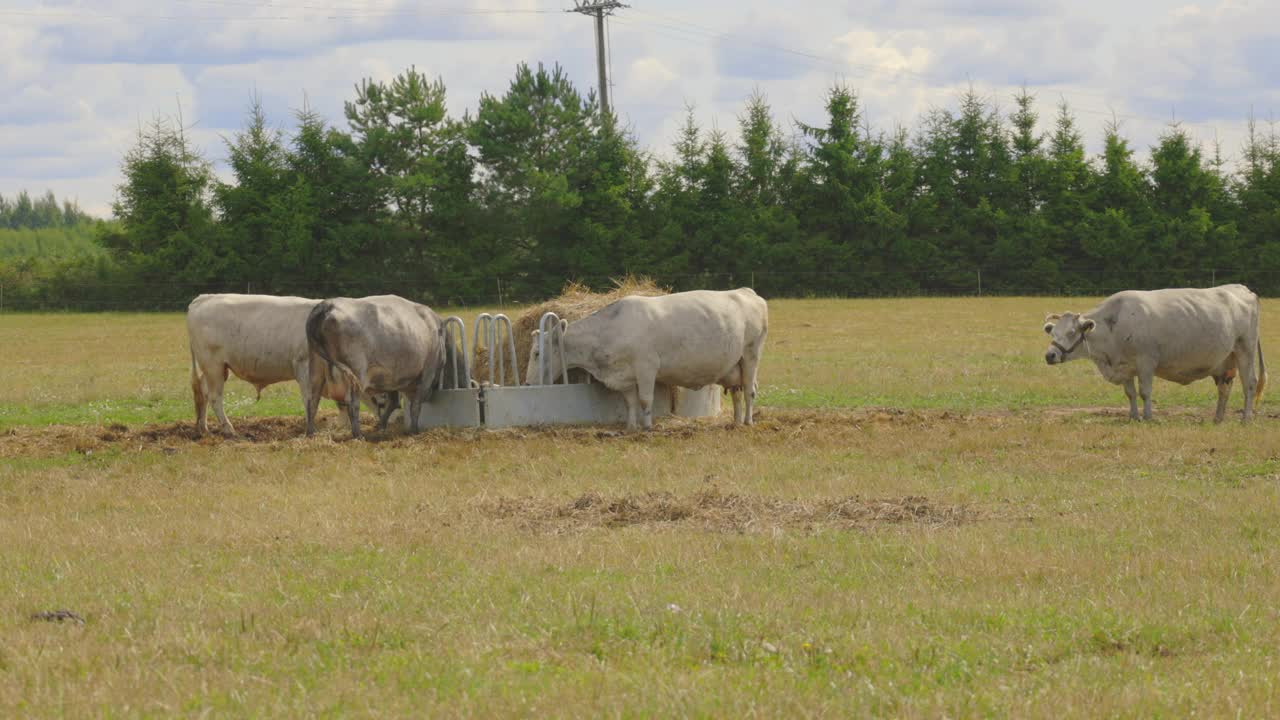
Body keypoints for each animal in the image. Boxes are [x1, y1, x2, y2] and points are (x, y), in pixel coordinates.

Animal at [186, 293, 396, 438]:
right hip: (213, 366)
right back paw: (229, 430)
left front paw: (340, 426)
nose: (392, 424)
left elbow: (341, 402)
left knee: (203, 394)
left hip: (213, 368)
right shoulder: (304, 368)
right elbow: (311, 400)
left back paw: (203, 428)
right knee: (215, 397)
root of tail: (204, 298)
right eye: (383, 400)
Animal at [304, 293, 455, 438]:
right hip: (357, 373)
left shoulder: (392, 379)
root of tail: (327, 304)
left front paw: (380, 426)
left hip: (316, 369)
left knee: (312, 400)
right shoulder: (428, 374)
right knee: (352, 403)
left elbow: (394, 402)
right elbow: (416, 405)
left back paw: (311, 433)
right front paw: (414, 431)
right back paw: (358, 435)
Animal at [522, 285, 768, 427]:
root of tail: (747, 292)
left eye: (536, 353)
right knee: (737, 393)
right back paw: (735, 421)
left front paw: (647, 427)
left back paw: (748, 421)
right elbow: (630, 402)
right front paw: (631, 427)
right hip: (734, 365)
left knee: (749, 390)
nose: (527, 384)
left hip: (751, 354)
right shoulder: (625, 376)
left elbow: (644, 399)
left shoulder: (647, 367)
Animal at [1044, 283, 1264, 420]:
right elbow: (1130, 393)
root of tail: (1243, 289)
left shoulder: (1146, 362)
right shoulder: (1125, 366)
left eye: (1072, 332)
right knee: (1224, 388)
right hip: (1225, 360)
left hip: (1245, 349)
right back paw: (1218, 418)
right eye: (1053, 332)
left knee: (1249, 383)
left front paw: (1148, 416)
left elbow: (1144, 392)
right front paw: (1133, 417)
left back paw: (1246, 418)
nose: (1050, 355)